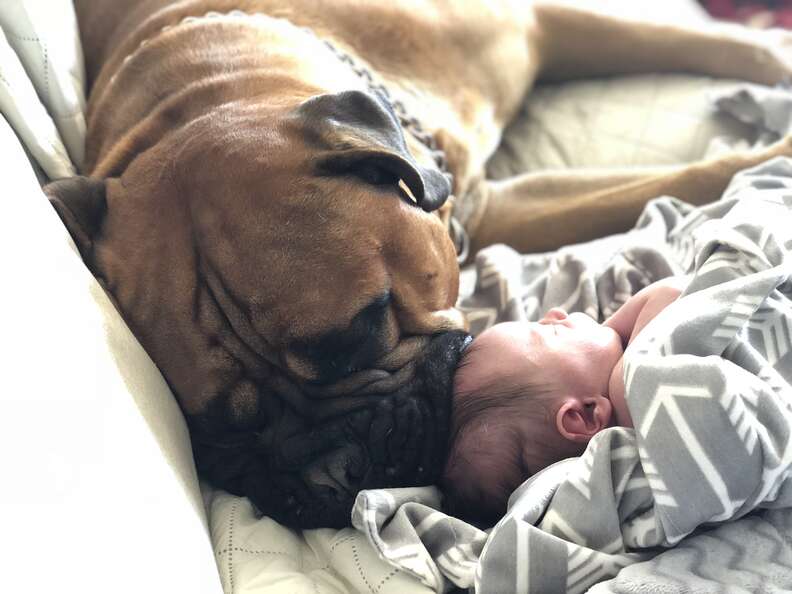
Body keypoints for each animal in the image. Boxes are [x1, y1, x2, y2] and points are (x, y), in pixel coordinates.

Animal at [48, 0, 792, 528]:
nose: (326, 476)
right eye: (219, 433)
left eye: (362, 328)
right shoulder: (498, 208)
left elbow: (724, 55)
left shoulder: (541, 25)